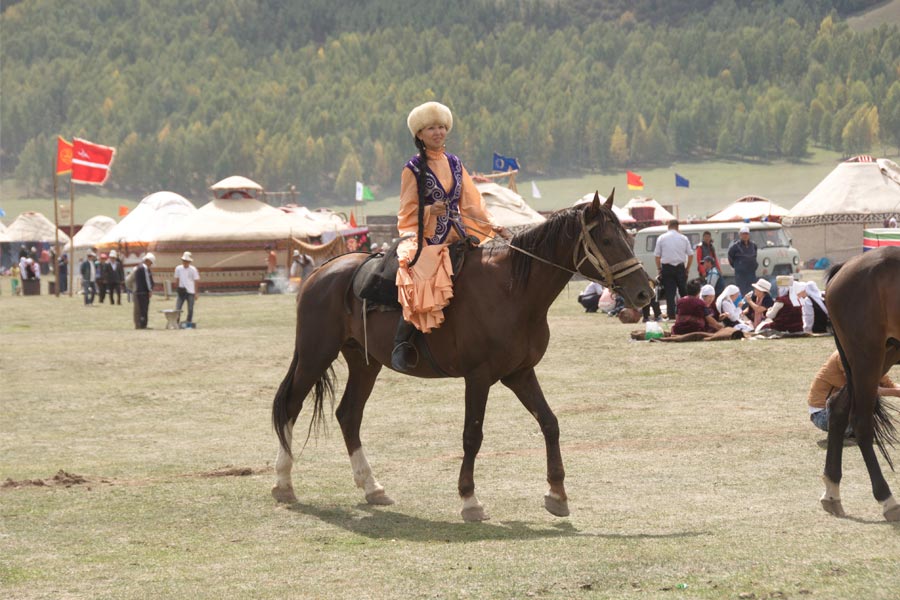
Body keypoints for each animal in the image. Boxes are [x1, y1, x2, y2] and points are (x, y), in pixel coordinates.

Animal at [270, 192, 652, 520]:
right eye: (607, 241)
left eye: (628, 237)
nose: (644, 292)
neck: (513, 292)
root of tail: (321, 272)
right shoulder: (478, 377)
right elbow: (473, 435)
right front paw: (470, 499)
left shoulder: (520, 374)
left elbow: (549, 423)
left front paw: (557, 494)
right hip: (316, 354)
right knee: (291, 407)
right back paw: (284, 483)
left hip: (364, 363)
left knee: (348, 415)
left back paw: (372, 487)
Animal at [824, 246, 900, 524]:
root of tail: (846, 266)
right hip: (867, 355)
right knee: (860, 421)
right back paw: (887, 498)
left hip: (884, 354)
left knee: (837, 408)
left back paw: (832, 491)